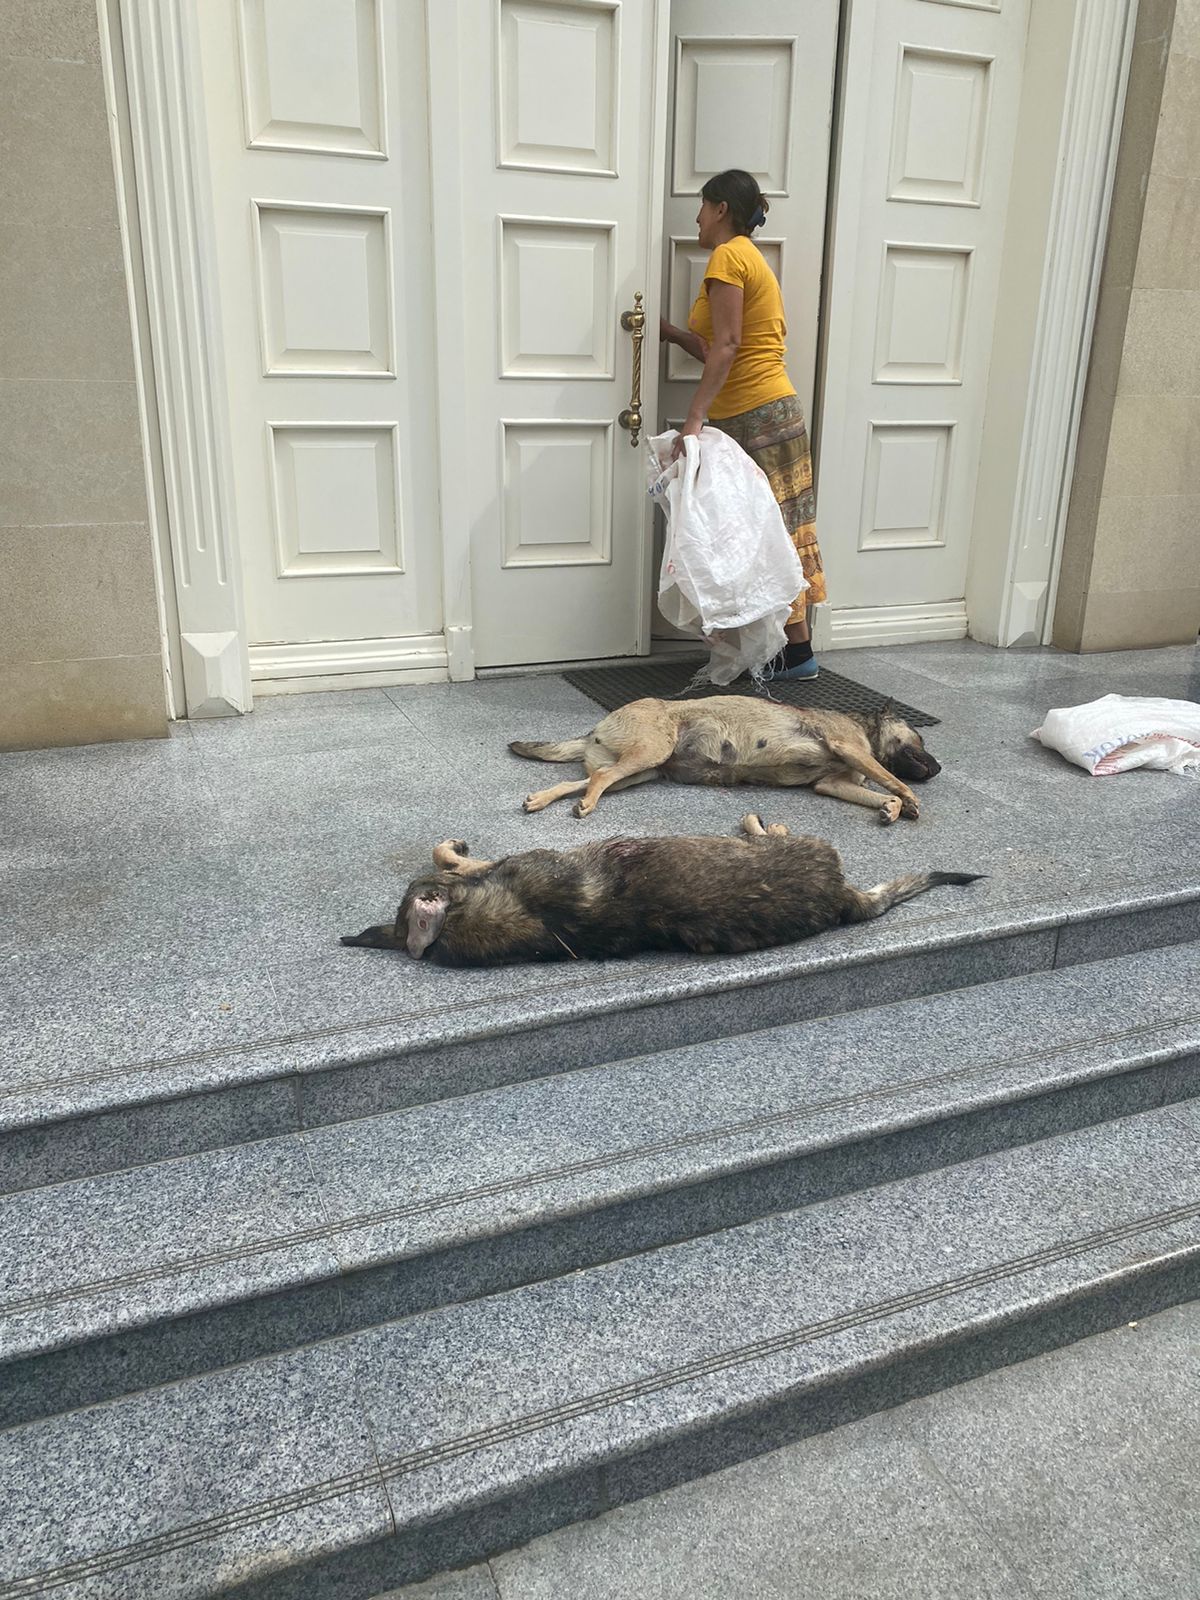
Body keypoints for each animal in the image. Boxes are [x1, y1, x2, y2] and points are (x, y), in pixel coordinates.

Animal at [509, 697, 941, 823]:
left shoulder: (832, 785)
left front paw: (892, 807)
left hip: (641, 771)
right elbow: (892, 778)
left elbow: (881, 791)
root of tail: (595, 728)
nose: (938, 769)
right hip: (650, 753)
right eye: (919, 739)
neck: (866, 730)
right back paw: (586, 805)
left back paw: (543, 799)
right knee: (598, 779)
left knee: (585, 779)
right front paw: (909, 799)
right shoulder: (849, 747)